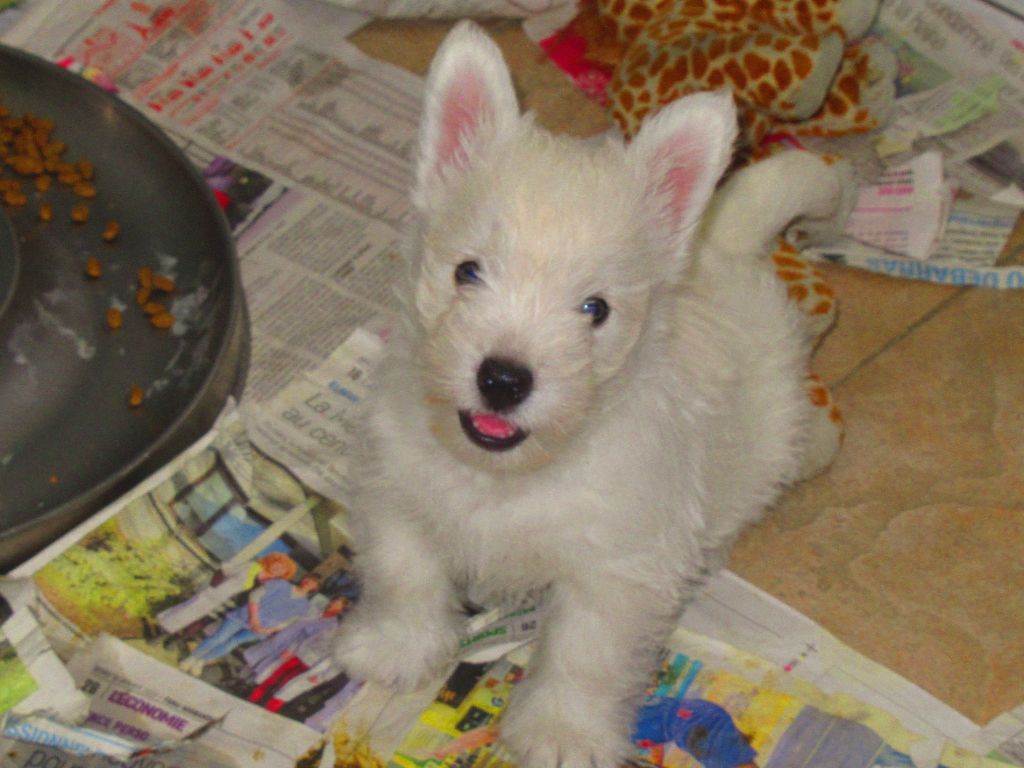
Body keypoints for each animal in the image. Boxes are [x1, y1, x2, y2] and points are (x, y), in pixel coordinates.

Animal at [333, 18, 847, 768]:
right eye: (467, 272)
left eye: (595, 309)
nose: (503, 379)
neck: (508, 478)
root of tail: (720, 243)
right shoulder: (395, 483)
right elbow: (404, 572)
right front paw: (392, 649)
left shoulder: (613, 568)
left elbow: (583, 655)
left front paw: (560, 734)